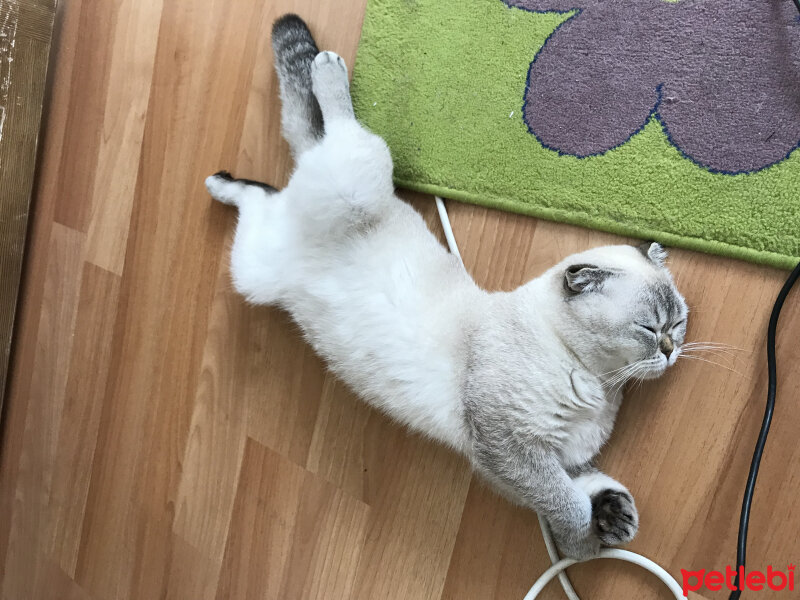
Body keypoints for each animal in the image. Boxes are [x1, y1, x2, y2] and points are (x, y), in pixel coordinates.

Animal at [205, 12, 688, 556]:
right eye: (650, 327)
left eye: (679, 323)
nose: (671, 351)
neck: (600, 385)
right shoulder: (510, 449)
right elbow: (563, 503)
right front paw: (585, 541)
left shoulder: (525, 461)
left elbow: (577, 482)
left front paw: (612, 516)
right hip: (349, 186)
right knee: (333, 131)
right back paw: (325, 71)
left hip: (257, 272)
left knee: (261, 198)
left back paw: (222, 181)